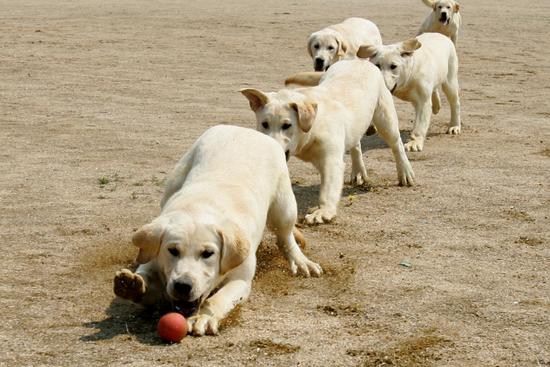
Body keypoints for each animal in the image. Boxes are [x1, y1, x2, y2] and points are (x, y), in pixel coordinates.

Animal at [116, 124, 324, 336]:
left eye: (208, 253)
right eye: (172, 251)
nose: (183, 286)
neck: (199, 208)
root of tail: (247, 130)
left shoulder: (241, 280)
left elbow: (217, 299)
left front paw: (203, 317)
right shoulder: (154, 249)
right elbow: (146, 271)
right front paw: (132, 285)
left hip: (284, 206)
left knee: (285, 236)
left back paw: (300, 261)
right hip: (174, 182)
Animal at [240, 59, 414, 226]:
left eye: (287, 125)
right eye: (264, 124)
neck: (311, 129)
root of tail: (358, 60)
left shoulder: (331, 161)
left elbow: (328, 190)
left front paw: (323, 212)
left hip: (385, 119)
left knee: (396, 144)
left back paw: (405, 172)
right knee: (356, 144)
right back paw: (358, 171)